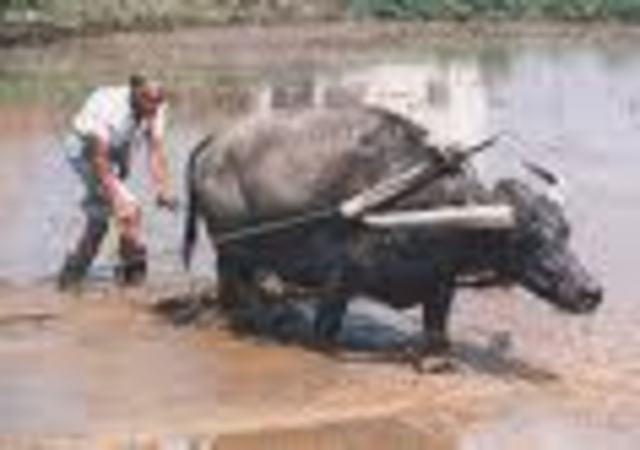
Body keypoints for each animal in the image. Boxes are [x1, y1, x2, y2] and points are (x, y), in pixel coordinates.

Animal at [182, 106, 603, 362]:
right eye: (527, 239)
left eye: (565, 232)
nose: (591, 292)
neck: (425, 208)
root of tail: (213, 145)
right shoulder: (338, 282)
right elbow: (325, 331)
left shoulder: (441, 283)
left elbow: (437, 332)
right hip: (231, 248)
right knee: (235, 284)